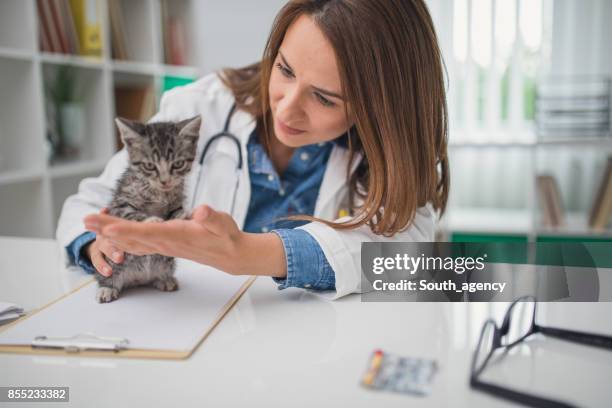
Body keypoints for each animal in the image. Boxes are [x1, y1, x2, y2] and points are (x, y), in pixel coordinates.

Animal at [95, 115, 201, 302]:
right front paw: (151, 220)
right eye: (150, 166)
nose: (165, 181)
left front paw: (183, 214)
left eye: (178, 164)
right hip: (112, 262)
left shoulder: (176, 199)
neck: (159, 192)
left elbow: (176, 210)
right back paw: (107, 287)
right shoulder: (120, 204)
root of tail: (137, 280)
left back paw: (164, 279)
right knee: (108, 274)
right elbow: (131, 213)